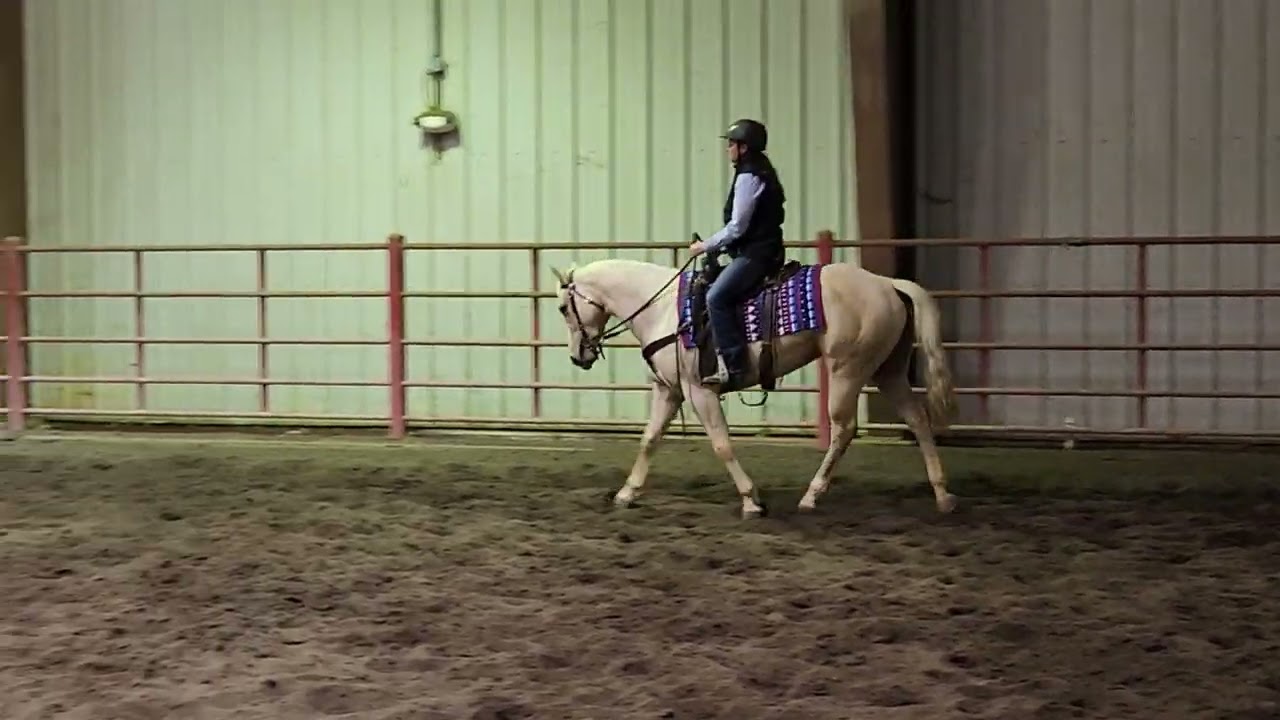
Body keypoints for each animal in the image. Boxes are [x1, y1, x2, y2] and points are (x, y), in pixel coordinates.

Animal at [550, 253, 958, 520]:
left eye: (562, 308)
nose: (577, 356)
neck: (662, 308)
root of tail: (887, 284)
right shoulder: (669, 390)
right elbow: (649, 439)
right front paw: (626, 493)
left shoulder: (700, 392)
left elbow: (721, 444)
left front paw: (751, 500)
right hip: (888, 371)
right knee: (918, 420)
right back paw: (941, 495)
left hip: (848, 371)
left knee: (844, 430)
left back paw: (811, 496)